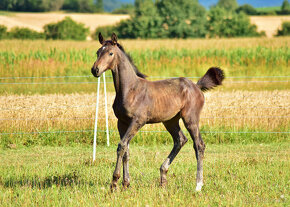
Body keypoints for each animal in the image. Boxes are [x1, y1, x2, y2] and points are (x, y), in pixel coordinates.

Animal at [90, 32, 224, 191]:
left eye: (110, 53)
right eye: (98, 52)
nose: (95, 70)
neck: (130, 89)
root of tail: (197, 86)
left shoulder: (137, 121)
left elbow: (121, 146)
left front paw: (114, 182)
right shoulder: (121, 122)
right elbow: (126, 150)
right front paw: (125, 183)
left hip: (190, 118)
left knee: (199, 145)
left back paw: (198, 185)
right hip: (170, 121)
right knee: (180, 140)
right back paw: (163, 177)